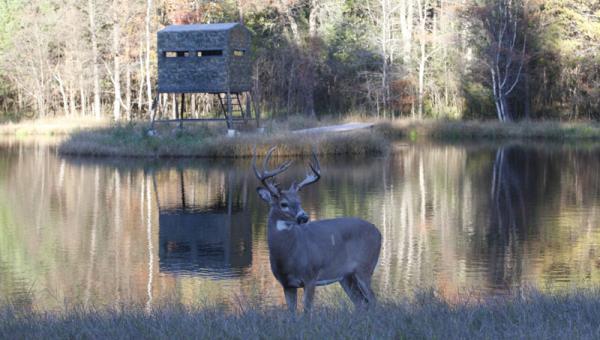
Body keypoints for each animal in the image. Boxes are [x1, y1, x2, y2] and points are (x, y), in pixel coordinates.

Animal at [252, 146, 382, 314]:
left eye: (299, 201)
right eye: (283, 204)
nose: (304, 216)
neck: (288, 256)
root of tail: (378, 231)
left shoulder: (311, 276)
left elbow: (307, 311)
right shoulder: (287, 284)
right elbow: (292, 313)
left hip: (365, 267)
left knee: (373, 300)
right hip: (345, 276)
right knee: (360, 302)